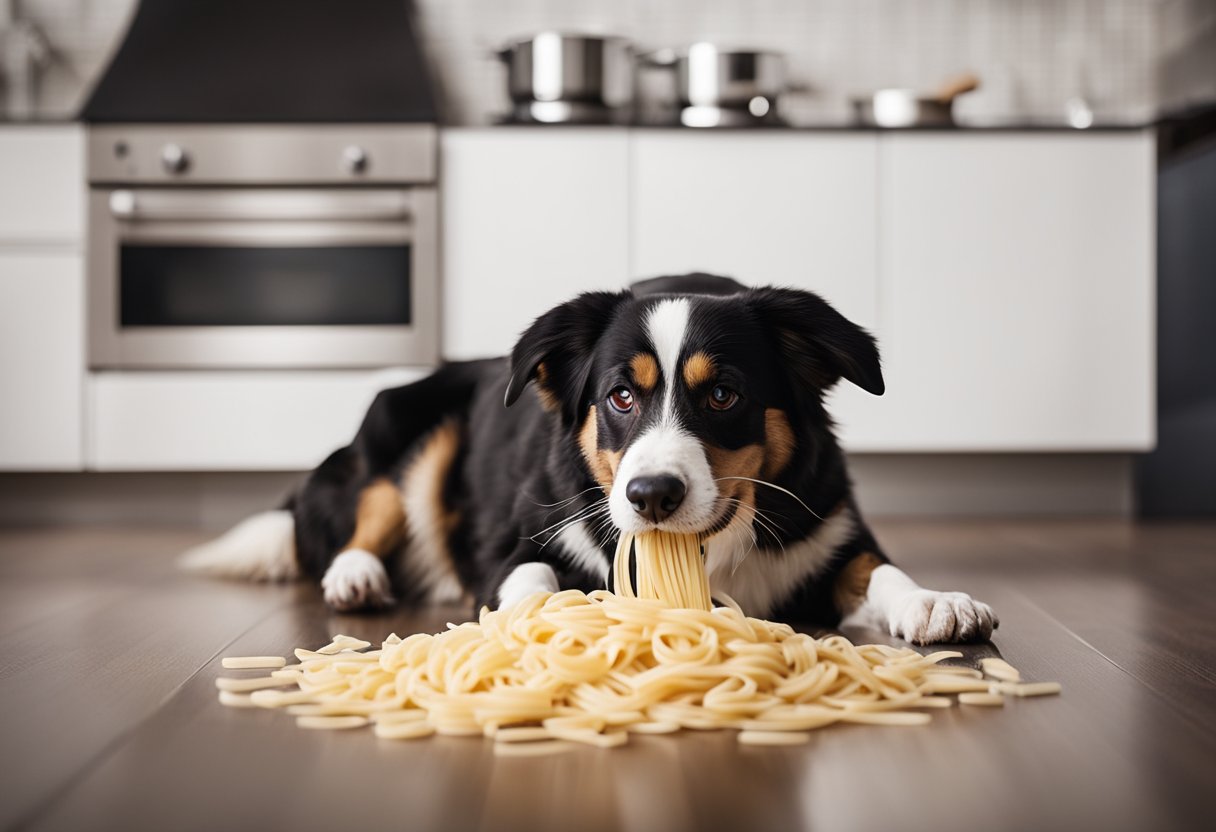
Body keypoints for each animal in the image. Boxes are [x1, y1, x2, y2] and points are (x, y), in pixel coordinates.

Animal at [182, 276, 997, 647]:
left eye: (724, 394)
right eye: (621, 397)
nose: (652, 494)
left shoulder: (829, 530)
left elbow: (879, 569)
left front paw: (935, 602)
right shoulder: (518, 543)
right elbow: (534, 580)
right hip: (406, 427)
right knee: (365, 510)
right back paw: (356, 576)